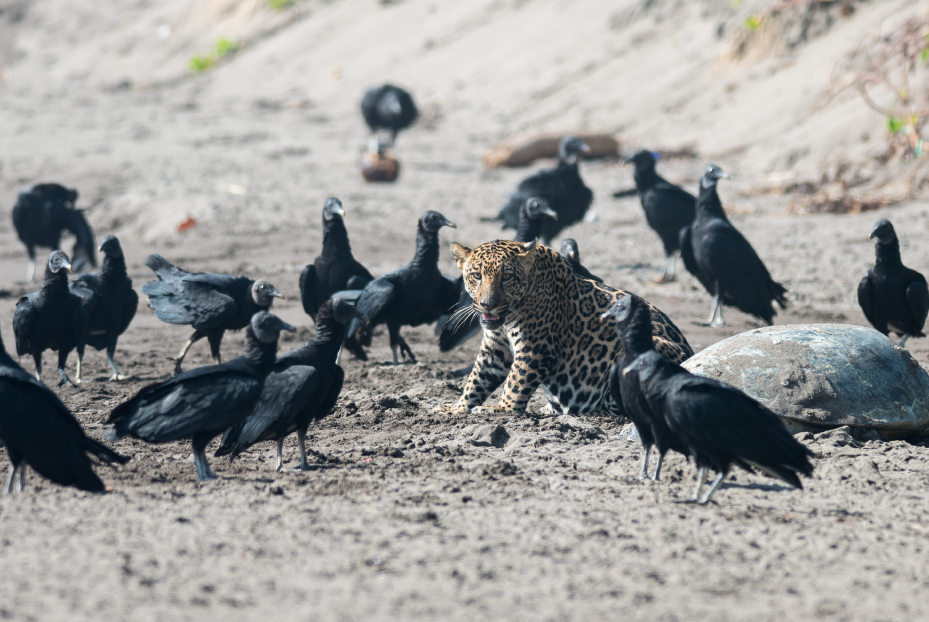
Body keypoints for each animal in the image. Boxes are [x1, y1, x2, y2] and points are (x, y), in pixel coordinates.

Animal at [440, 239, 693, 416]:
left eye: (507, 277)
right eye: (476, 275)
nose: (488, 304)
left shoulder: (536, 349)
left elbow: (515, 381)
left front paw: (502, 409)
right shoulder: (495, 348)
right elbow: (476, 379)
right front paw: (457, 408)